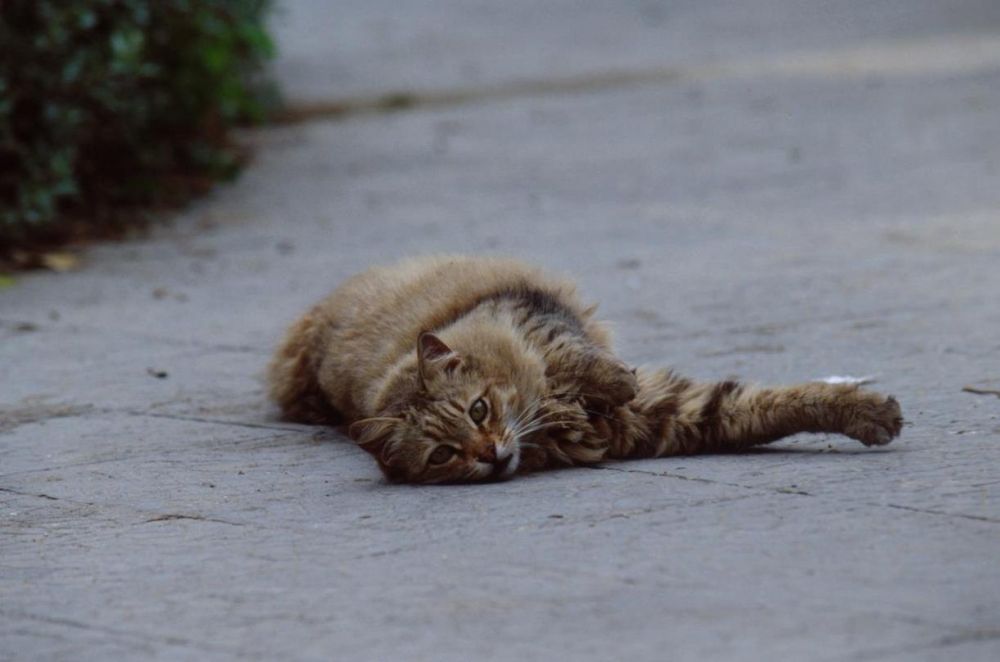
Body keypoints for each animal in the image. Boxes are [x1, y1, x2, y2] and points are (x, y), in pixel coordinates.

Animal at [270, 256, 904, 486]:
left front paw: (869, 411)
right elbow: (764, 405)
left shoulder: (530, 312)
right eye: (442, 455)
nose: (488, 454)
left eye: (479, 408)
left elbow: (573, 355)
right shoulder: (670, 419)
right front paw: (870, 414)